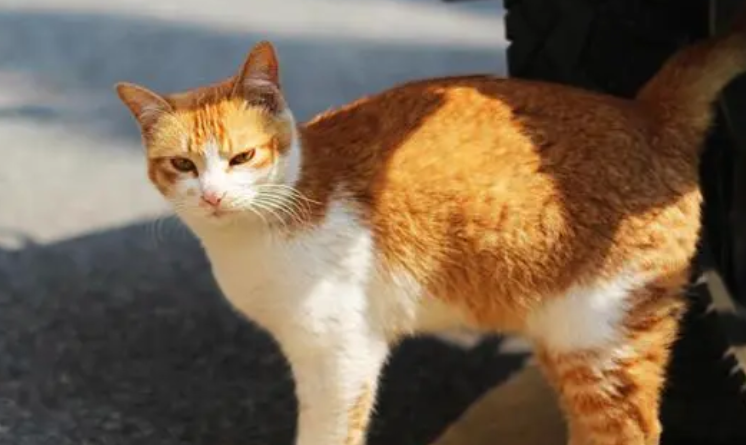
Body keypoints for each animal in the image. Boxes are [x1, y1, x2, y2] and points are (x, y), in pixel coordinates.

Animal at [113, 8, 744, 444]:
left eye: (241, 158)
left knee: (629, 431)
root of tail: (647, 112)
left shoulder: (342, 355)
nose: (213, 195)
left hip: (597, 338)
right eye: (183, 166)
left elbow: (327, 433)